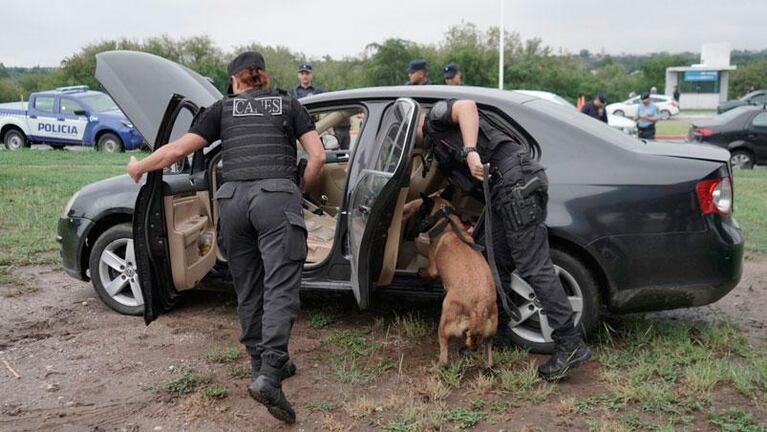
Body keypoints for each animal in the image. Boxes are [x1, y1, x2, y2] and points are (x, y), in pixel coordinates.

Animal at [414, 194, 498, 366]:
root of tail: (480, 309)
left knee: (444, 350)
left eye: (420, 211)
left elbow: (428, 272)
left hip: (445, 320)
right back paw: (489, 365)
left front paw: (421, 273)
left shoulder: (433, 267)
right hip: (490, 332)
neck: (448, 222)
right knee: (488, 349)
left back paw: (439, 365)